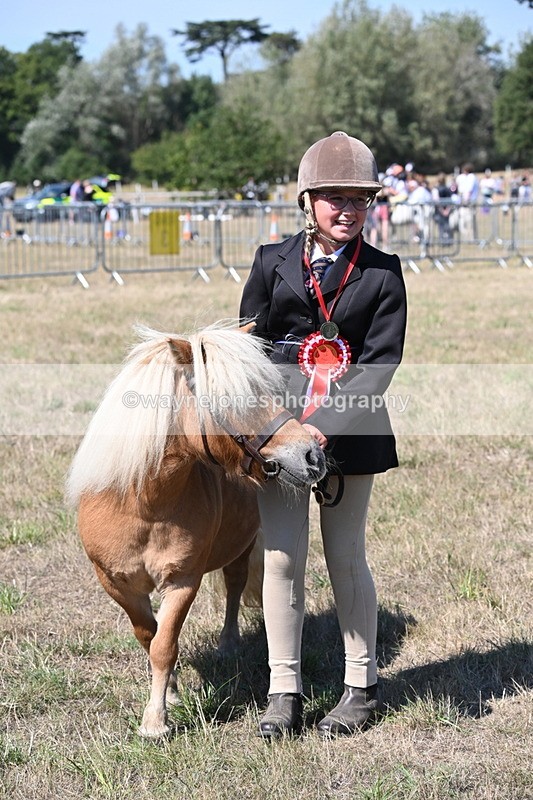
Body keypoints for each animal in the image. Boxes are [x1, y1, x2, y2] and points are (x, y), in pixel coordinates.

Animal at [66, 321, 326, 738]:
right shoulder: (118, 585)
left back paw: (228, 644)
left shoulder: (183, 581)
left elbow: (165, 644)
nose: (312, 455)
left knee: (235, 586)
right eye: (232, 400)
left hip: (241, 546)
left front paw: (155, 722)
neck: (143, 505)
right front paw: (169, 694)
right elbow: (150, 636)